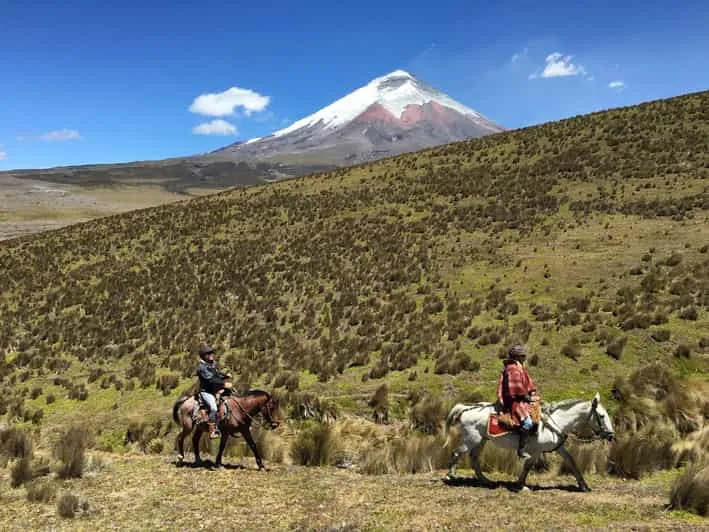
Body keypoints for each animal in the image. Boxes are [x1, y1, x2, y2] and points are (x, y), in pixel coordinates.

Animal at [446, 390, 612, 490]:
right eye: (602, 416)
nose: (610, 435)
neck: (556, 421)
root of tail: (466, 408)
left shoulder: (559, 448)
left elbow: (572, 462)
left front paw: (584, 485)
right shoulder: (536, 451)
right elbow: (527, 466)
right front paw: (521, 485)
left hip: (481, 440)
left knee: (474, 457)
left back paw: (484, 480)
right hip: (471, 439)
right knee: (456, 453)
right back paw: (450, 475)